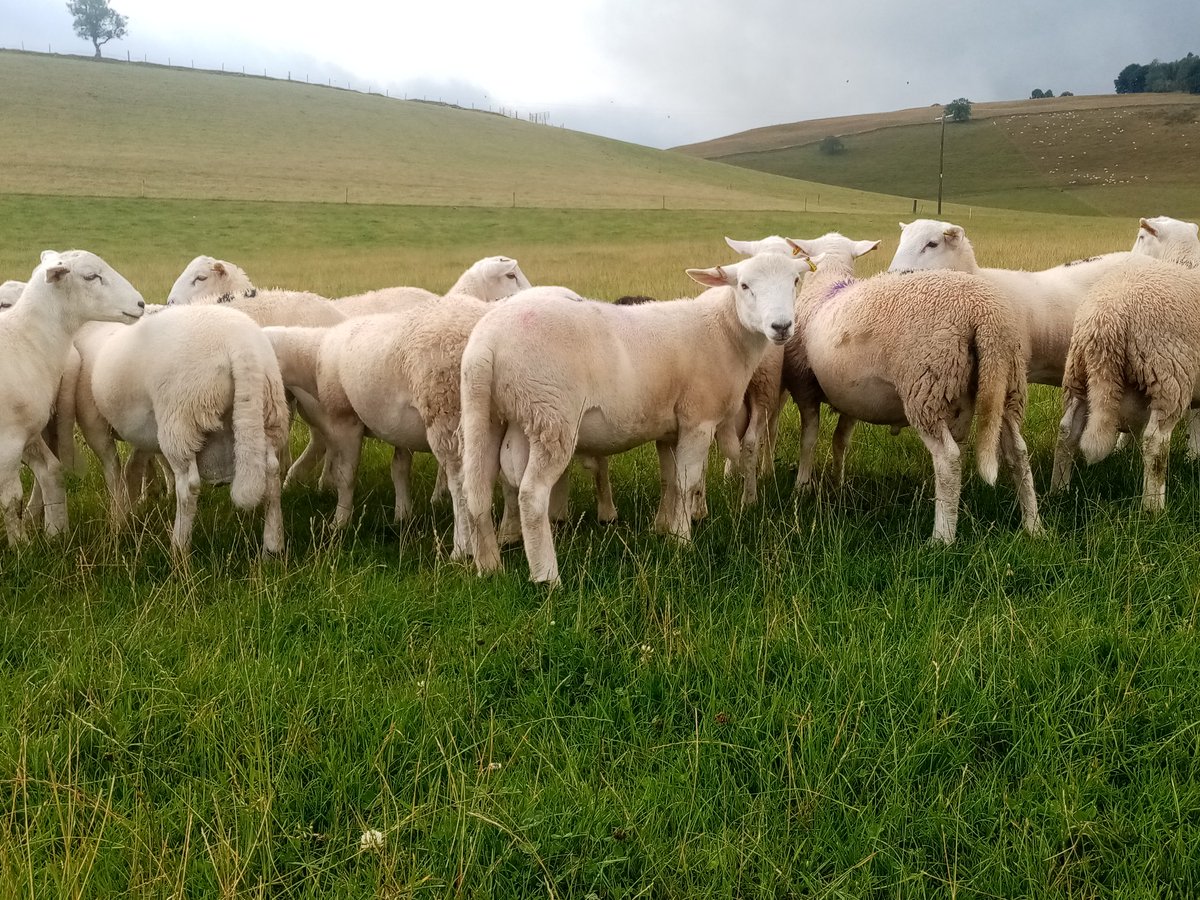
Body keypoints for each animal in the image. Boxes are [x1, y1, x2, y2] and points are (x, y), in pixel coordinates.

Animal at [0, 251, 145, 544]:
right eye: (90, 276)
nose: (140, 303)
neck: (25, 340)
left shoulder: (26, 433)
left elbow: (49, 472)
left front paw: (49, 535)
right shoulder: (7, 441)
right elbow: (11, 499)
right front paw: (20, 546)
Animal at [81, 304, 289, 555]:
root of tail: (241, 344)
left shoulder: (94, 423)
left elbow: (115, 471)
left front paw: (118, 523)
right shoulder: (145, 431)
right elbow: (135, 466)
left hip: (181, 419)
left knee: (188, 487)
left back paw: (179, 549)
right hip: (268, 412)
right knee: (272, 475)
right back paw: (273, 546)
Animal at [460, 252, 808, 584]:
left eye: (795, 281)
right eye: (745, 285)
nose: (781, 327)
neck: (723, 332)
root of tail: (486, 344)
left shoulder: (670, 429)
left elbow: (670, 479)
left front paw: (662, 527)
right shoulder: (698, 420)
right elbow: (687, 482)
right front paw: (682, 541)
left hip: (490, 413)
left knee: (476, 489)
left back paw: (489, 567)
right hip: (551, 415)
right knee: (531, 494)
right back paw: (546, 577)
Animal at [784, 233, 1039, 544]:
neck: (827, 285)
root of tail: (984, 313)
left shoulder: (804, 385)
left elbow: (808, 439)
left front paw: (801, 487)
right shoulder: (852, 397)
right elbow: (840, 441)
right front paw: (838, 484)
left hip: (925, 385)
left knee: (948, 459)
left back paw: (941, 538)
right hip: (1006, 382)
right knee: (1018, 452)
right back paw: (1033, 526)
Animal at [1051, 217, 1200, 508]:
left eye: (1141, 237)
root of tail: (1106, 317)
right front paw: (1194, 457)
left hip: (1078, 373)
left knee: (1067, 432)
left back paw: (1059, 492)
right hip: (1170, 376)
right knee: (1155, 442)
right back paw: (1153, 507)